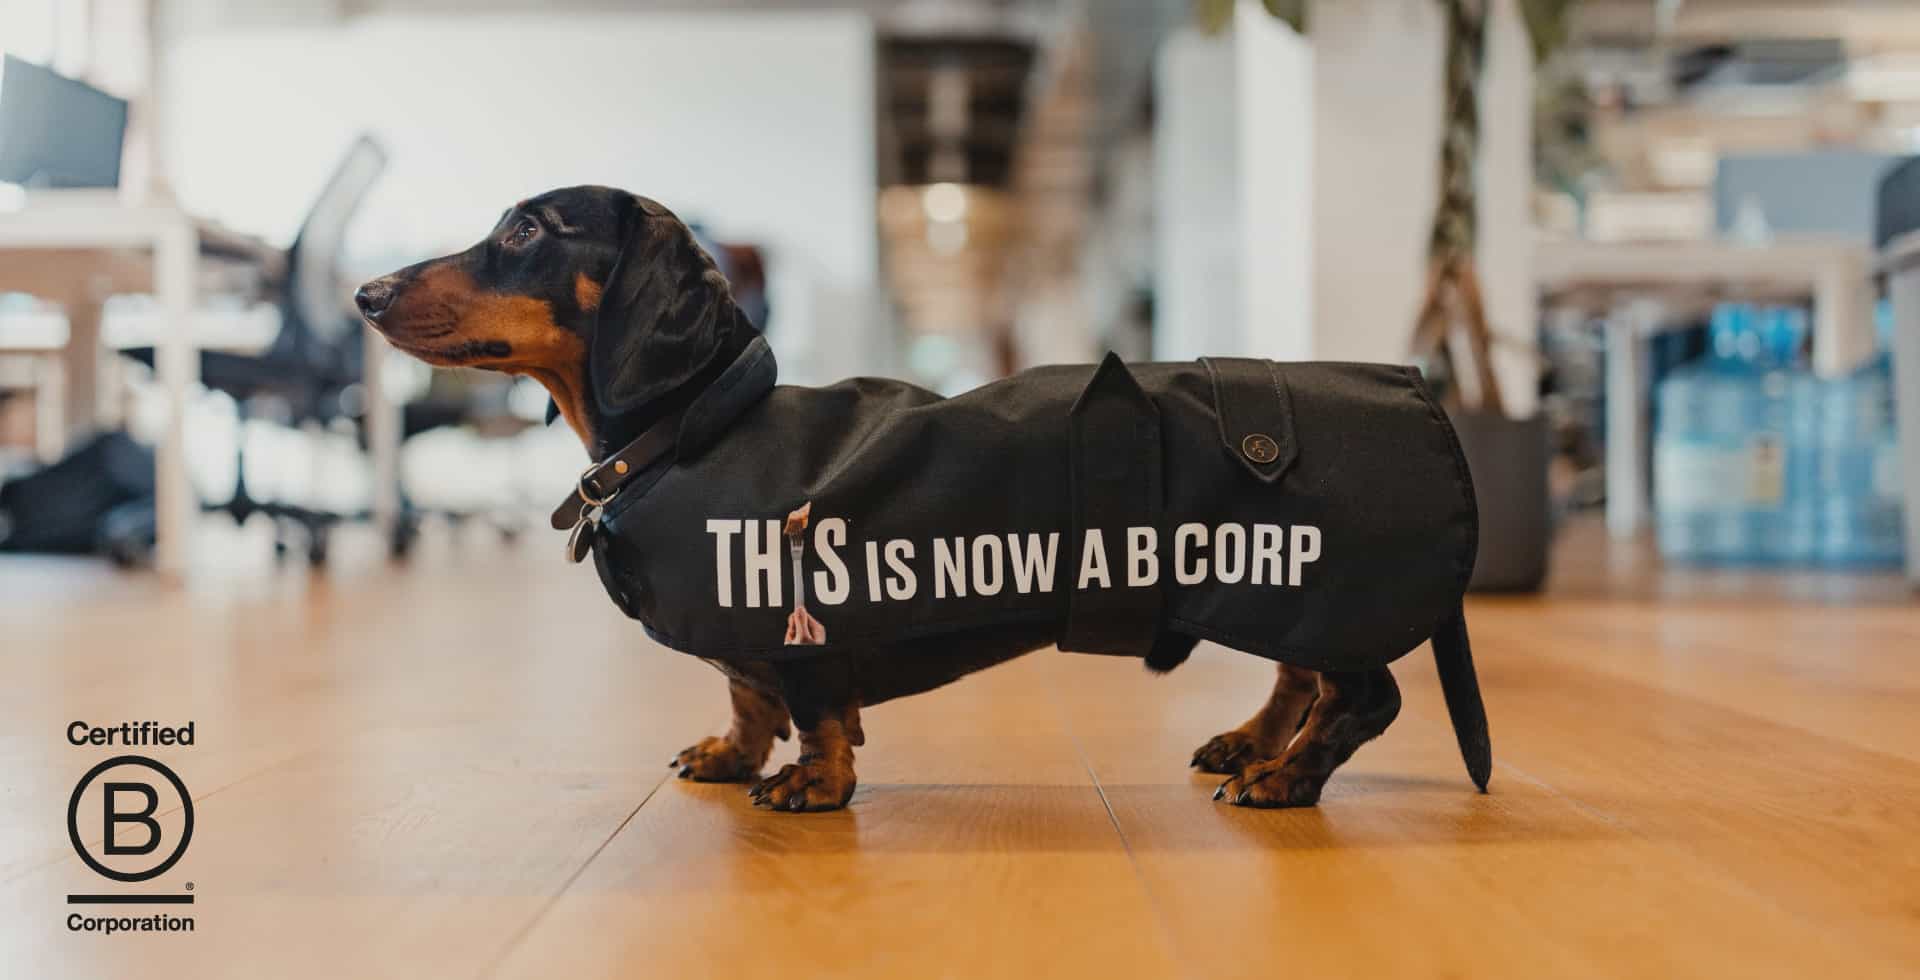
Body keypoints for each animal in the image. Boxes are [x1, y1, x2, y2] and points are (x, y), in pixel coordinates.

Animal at [353, 183, 1474, 810]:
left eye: (524, 231)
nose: (362, 292)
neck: (694, 424)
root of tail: (1421, 395)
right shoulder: (748, 648)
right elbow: (743, 693)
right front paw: (731, 753)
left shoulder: (801, 632)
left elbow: (809, 709)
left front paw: (814, 782)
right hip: (1286, 595)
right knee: (1302, 674)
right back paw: (1253, 742)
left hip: (1314, 591)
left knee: (1362, 696)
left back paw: (1287, 777)